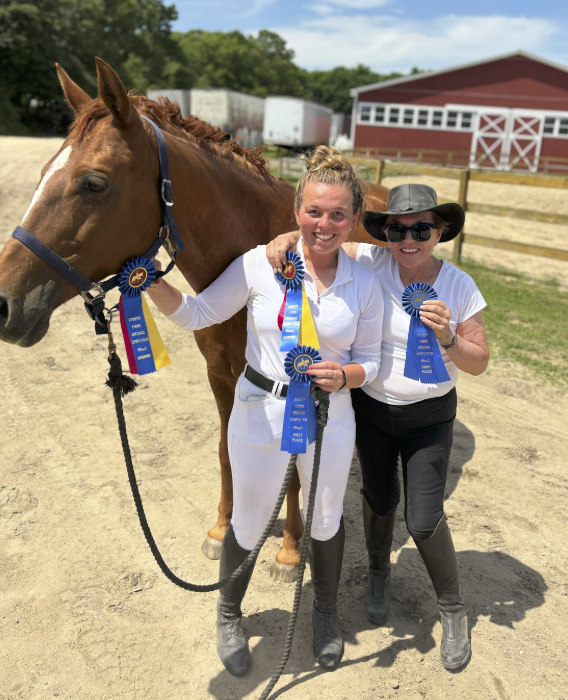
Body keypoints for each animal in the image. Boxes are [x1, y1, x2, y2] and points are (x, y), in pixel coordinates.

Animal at [0, 58, 388, 581]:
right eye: (43, 173)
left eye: (94, 183)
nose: (4, 302)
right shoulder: (222, 377)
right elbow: (227, 450)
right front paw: (223, 529)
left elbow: (293, 472)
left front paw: (288, 552)